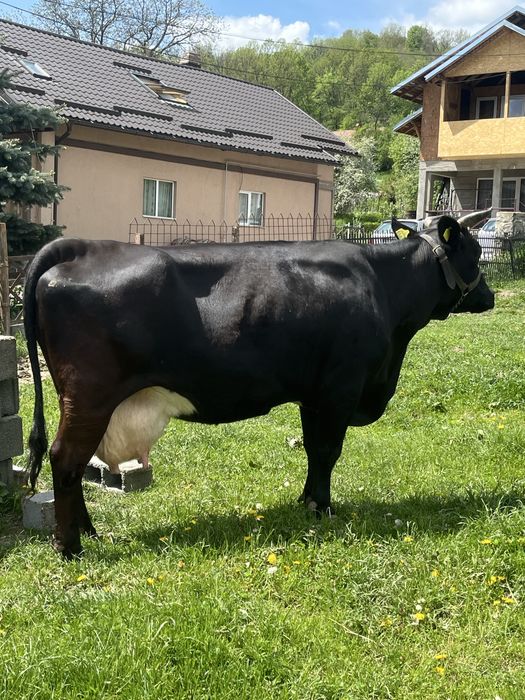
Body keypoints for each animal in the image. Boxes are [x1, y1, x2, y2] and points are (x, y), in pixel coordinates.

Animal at [24, 212, 494, 559]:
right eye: (473, 252)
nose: (489, 296)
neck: (383, 287)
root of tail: (84, 247)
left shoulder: (314, 393)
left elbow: (313, 450)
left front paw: (307, 502)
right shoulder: (341, 387)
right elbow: (329, 450)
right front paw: (324, 508)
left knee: (74, 463)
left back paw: (88, 530)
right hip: (90, 396)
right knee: (65, 458)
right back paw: (70, 546)